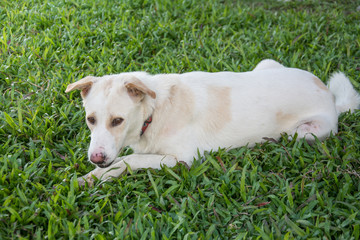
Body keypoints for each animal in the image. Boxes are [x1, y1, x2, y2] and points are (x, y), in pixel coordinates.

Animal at [65, 59, 360, 185]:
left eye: (118, 120)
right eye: (91, 119)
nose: (96, 158)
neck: (155, 109)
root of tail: (330, 96)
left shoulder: (182, 159)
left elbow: (129, 160)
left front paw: (95, 177)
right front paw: (89, 176)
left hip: (306, 133)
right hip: (265, 64)